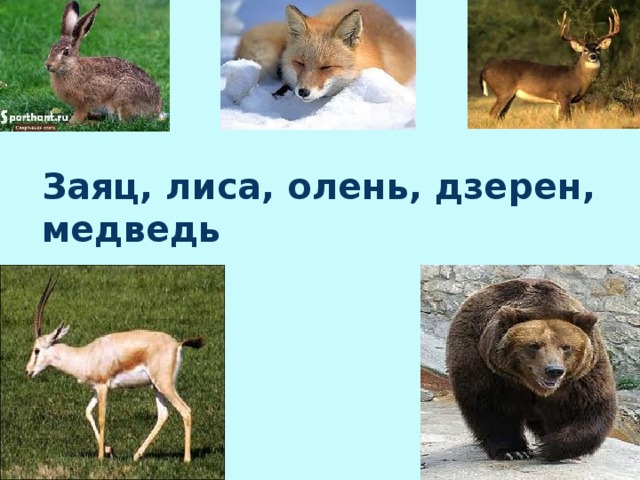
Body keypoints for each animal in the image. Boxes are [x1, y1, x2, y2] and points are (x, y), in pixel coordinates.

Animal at [25, 277, 204, 462]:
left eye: (37, 350)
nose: (28, 371)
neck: (87, 355)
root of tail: (177, 344)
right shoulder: (95, 389)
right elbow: (88, 412)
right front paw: (108, 449)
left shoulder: (103, 387)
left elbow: (101, 417)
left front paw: (100, 456)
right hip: (156, 386)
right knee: (163, 414)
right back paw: (136, 455)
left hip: (164, 385)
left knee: (185, 411)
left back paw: (186, 459)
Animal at [445, 278, 617, 461]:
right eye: (534, 345)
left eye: (566, 347)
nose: (554, 370)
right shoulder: (487, 369)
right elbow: (491, 406)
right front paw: (513, 451)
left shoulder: (582, 377)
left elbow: (589, 407)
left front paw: (551, 446)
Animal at [480, 8, 620, 120]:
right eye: (584, 50)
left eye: (598, 49)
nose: (593, 56)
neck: (577, 77)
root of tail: (484, 70)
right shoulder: (563, 95)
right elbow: (567, 119)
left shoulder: (558, 102)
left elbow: (560, 120)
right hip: (503, 90)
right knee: (493, 113)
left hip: (510, 95)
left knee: (500, 115)